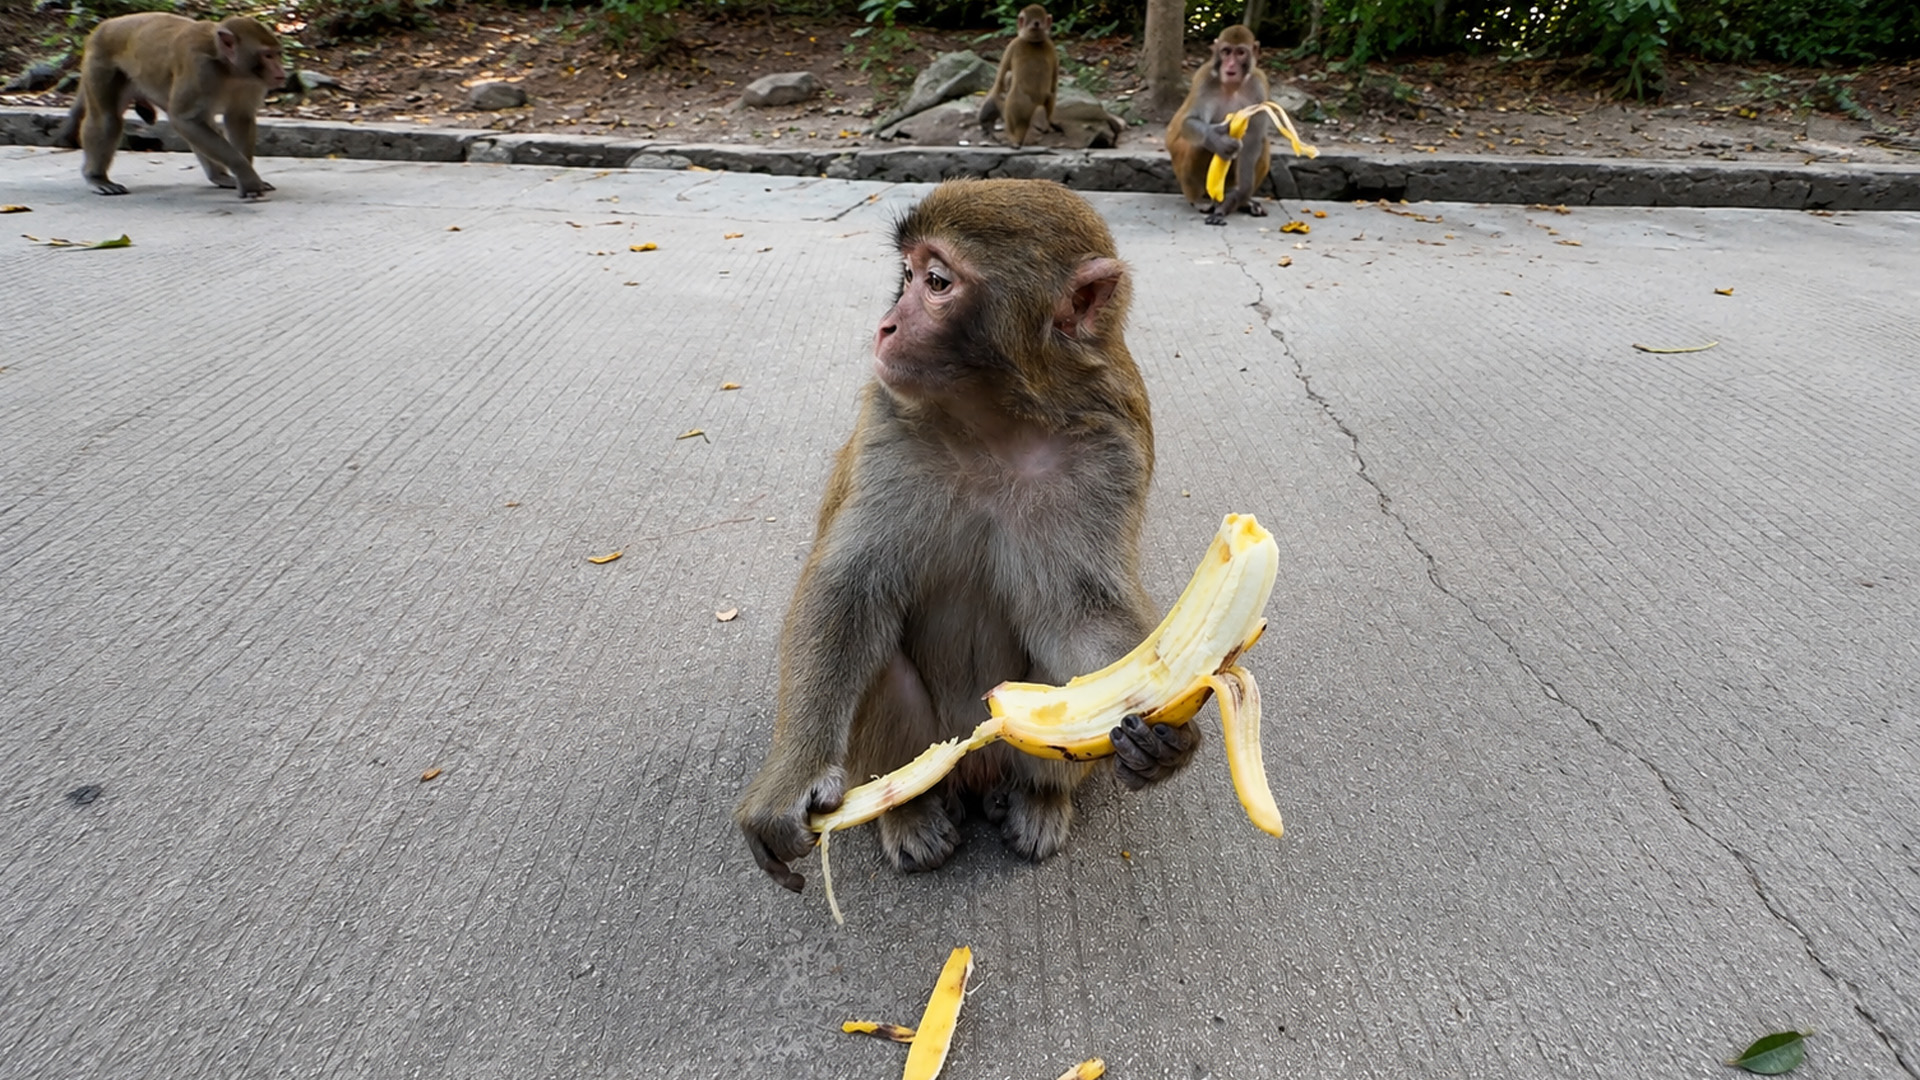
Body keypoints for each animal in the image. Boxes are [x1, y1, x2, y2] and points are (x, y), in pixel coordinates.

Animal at [55, 13, 285, 199]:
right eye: (267, 55)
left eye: (277, 54)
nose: (280, 72)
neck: (228, 67)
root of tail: (104, 25)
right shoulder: (200, 69)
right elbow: (184, 120)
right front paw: (246, 176)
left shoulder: (253, 82)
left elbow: (239, 117)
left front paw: (243, 175)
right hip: (100, 62)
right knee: (107, 119)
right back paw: (96, 178)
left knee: (201, 121)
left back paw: (220, 176)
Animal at [735, 179, 1203, 894]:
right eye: (906, 276)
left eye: (936, 282)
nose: (887, 325)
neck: (995, 420)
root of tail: (975, 767)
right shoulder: (889, 423)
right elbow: (849, 589)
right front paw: (793, 781)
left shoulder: (1111, 448)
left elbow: (1081, 615)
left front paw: (1168, 737)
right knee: (880, 660)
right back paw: (909, 812)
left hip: (1012, 738)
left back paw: (1039, 799)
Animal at [977, 5, 1058, 148]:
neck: (1034, 40)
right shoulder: (1051, 46)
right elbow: (1053, 87)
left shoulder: (1013, 44)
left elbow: (998, 84)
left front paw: (986, 119)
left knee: (1005, 82)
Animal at [1166, 25, 1273, 226]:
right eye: (1226, 52)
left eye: (1240, 53)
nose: (1230, 65)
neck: (1232, 86)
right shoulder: (1204, 78)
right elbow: (1189, 122)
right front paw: (1217, 138)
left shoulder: (1259, 85)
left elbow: (1253, 139)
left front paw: (1235, 199)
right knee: (1198, 145)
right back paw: (1199, 200)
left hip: (1228, 182)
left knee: (1262, 142)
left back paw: (1243, 201)